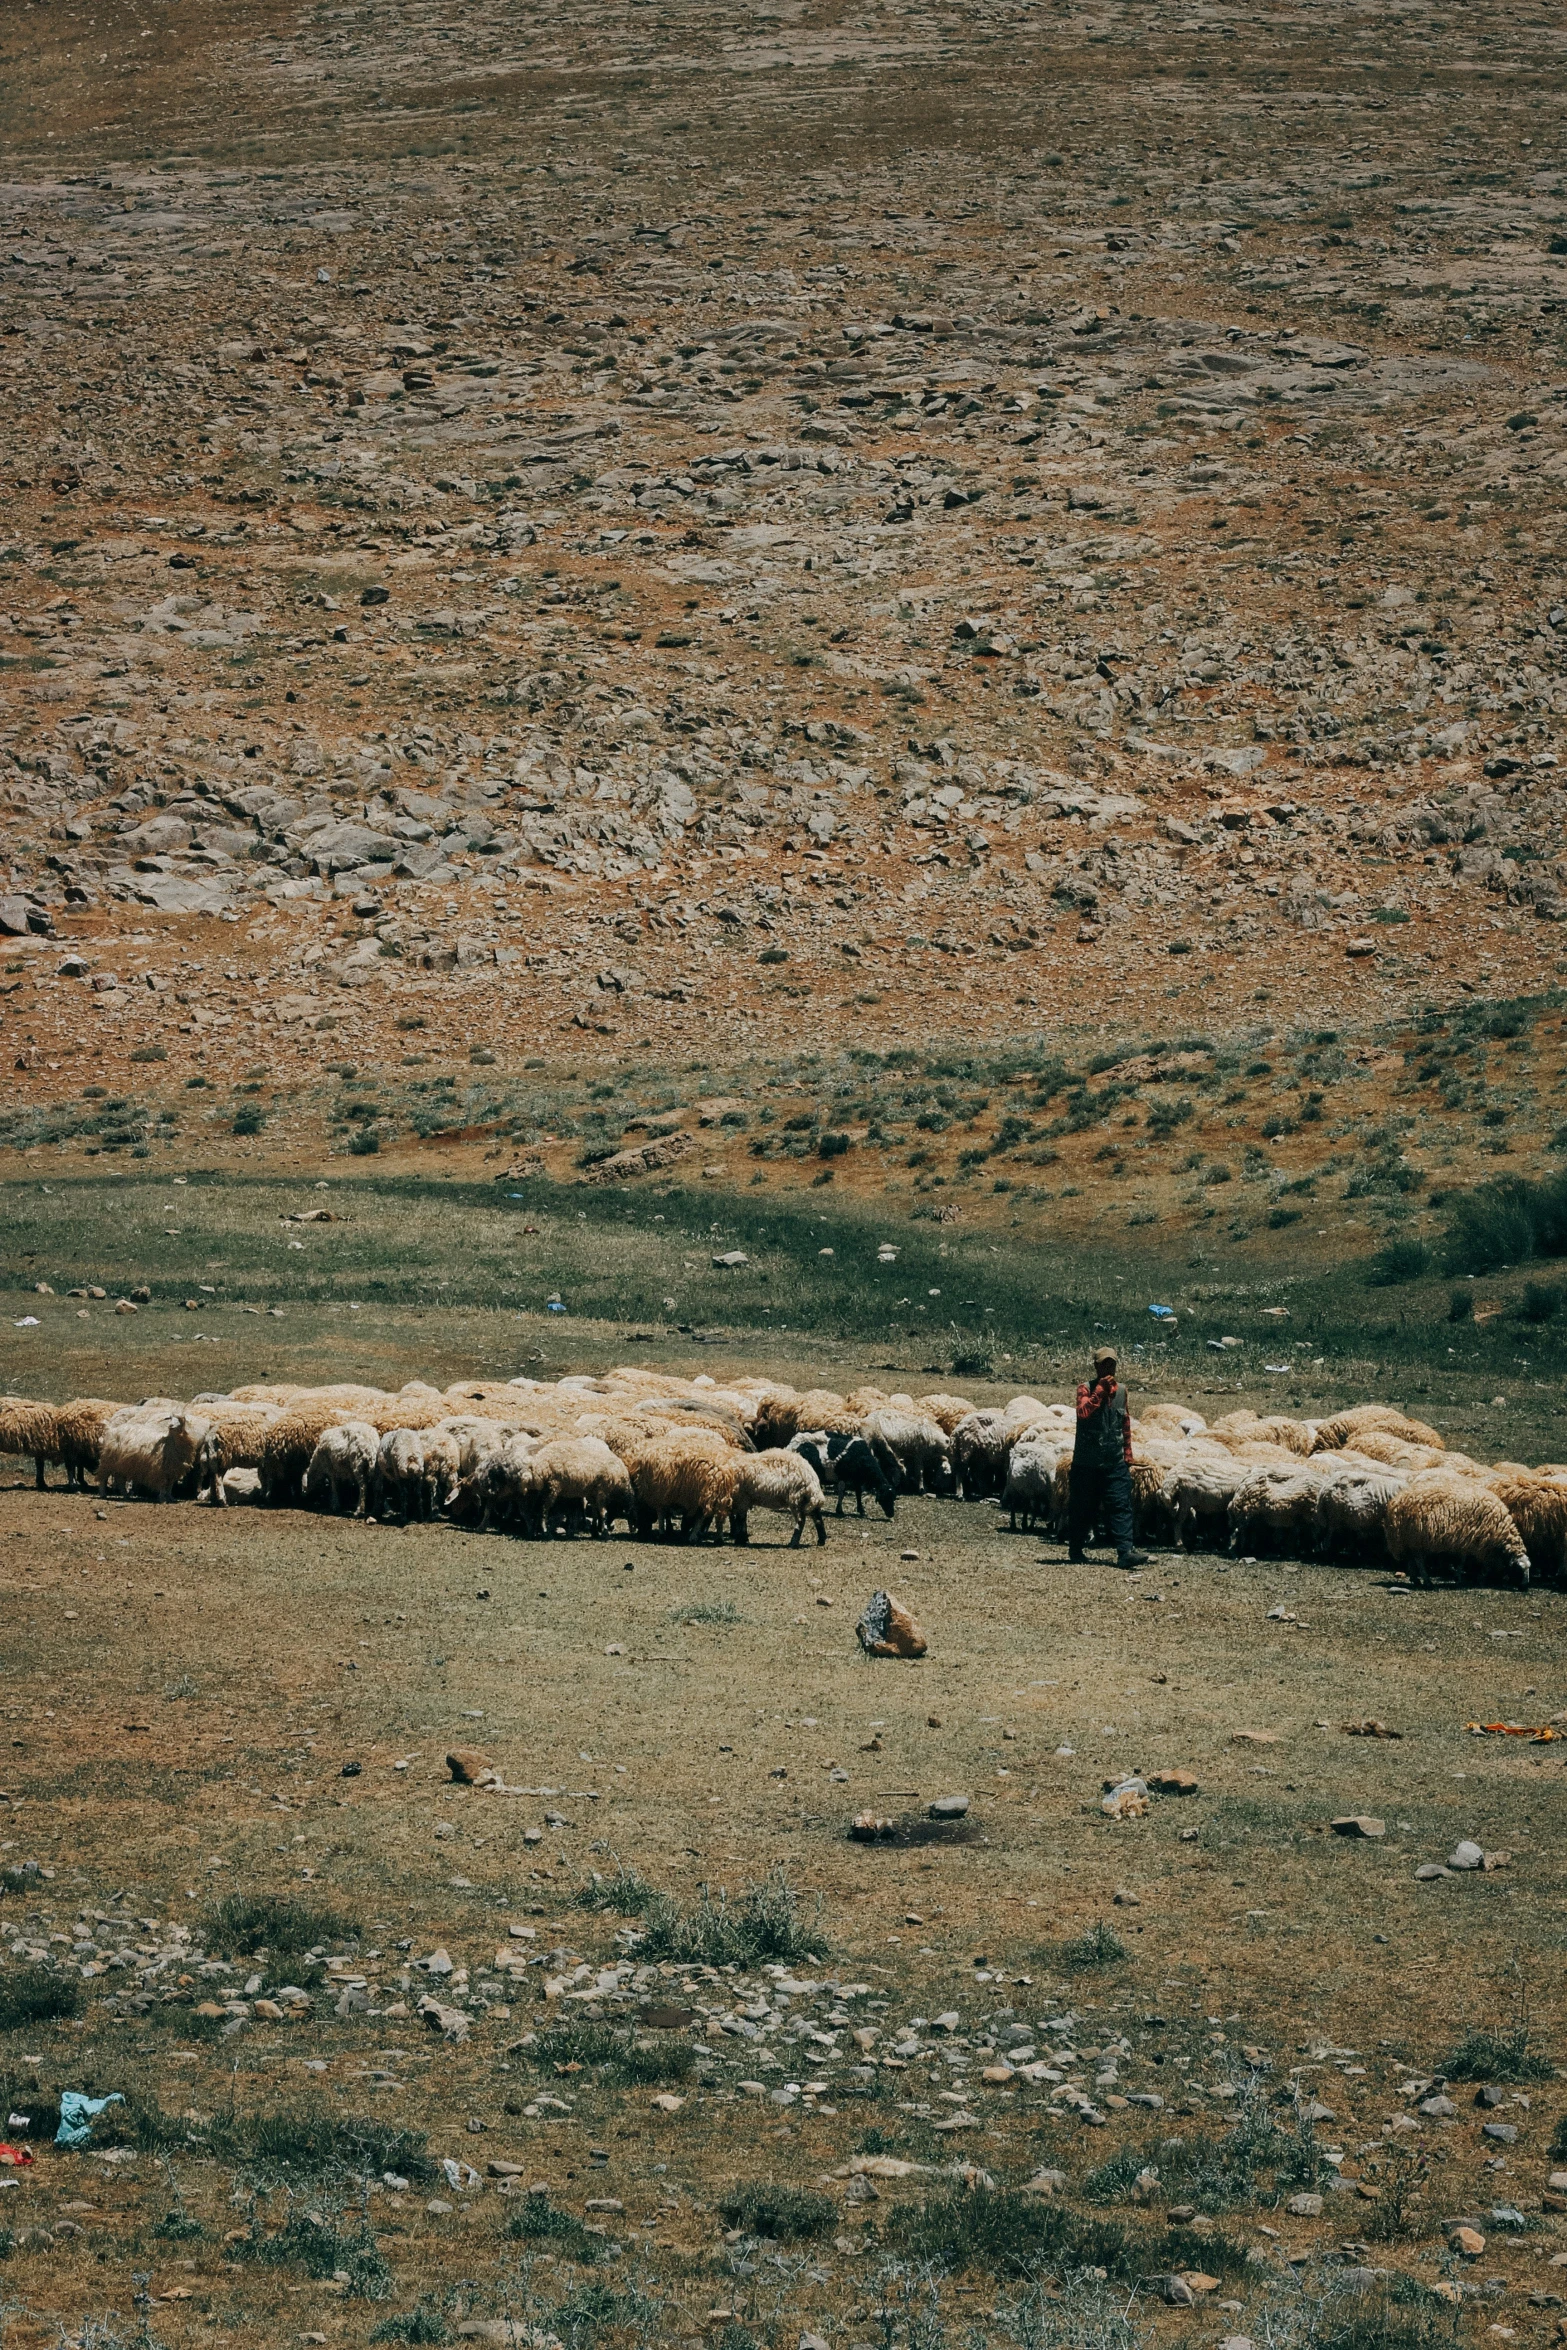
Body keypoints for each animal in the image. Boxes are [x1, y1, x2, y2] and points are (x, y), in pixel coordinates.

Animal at [1390, 1475, 1522, 1588]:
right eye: (1519, 1570)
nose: (1524, 1587)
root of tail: (1396, 1503)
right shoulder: (1480, 1545)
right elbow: (1473, 1564)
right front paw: (1474, 1579)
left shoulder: (1466, 1541)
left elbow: (1462, 1561)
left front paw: (1460, 1577)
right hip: (1417, 1539)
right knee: (1419, 1560)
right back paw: (1427, 1581)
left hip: (1409, 1539)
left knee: (1411, 1559)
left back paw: (1415, 1579)